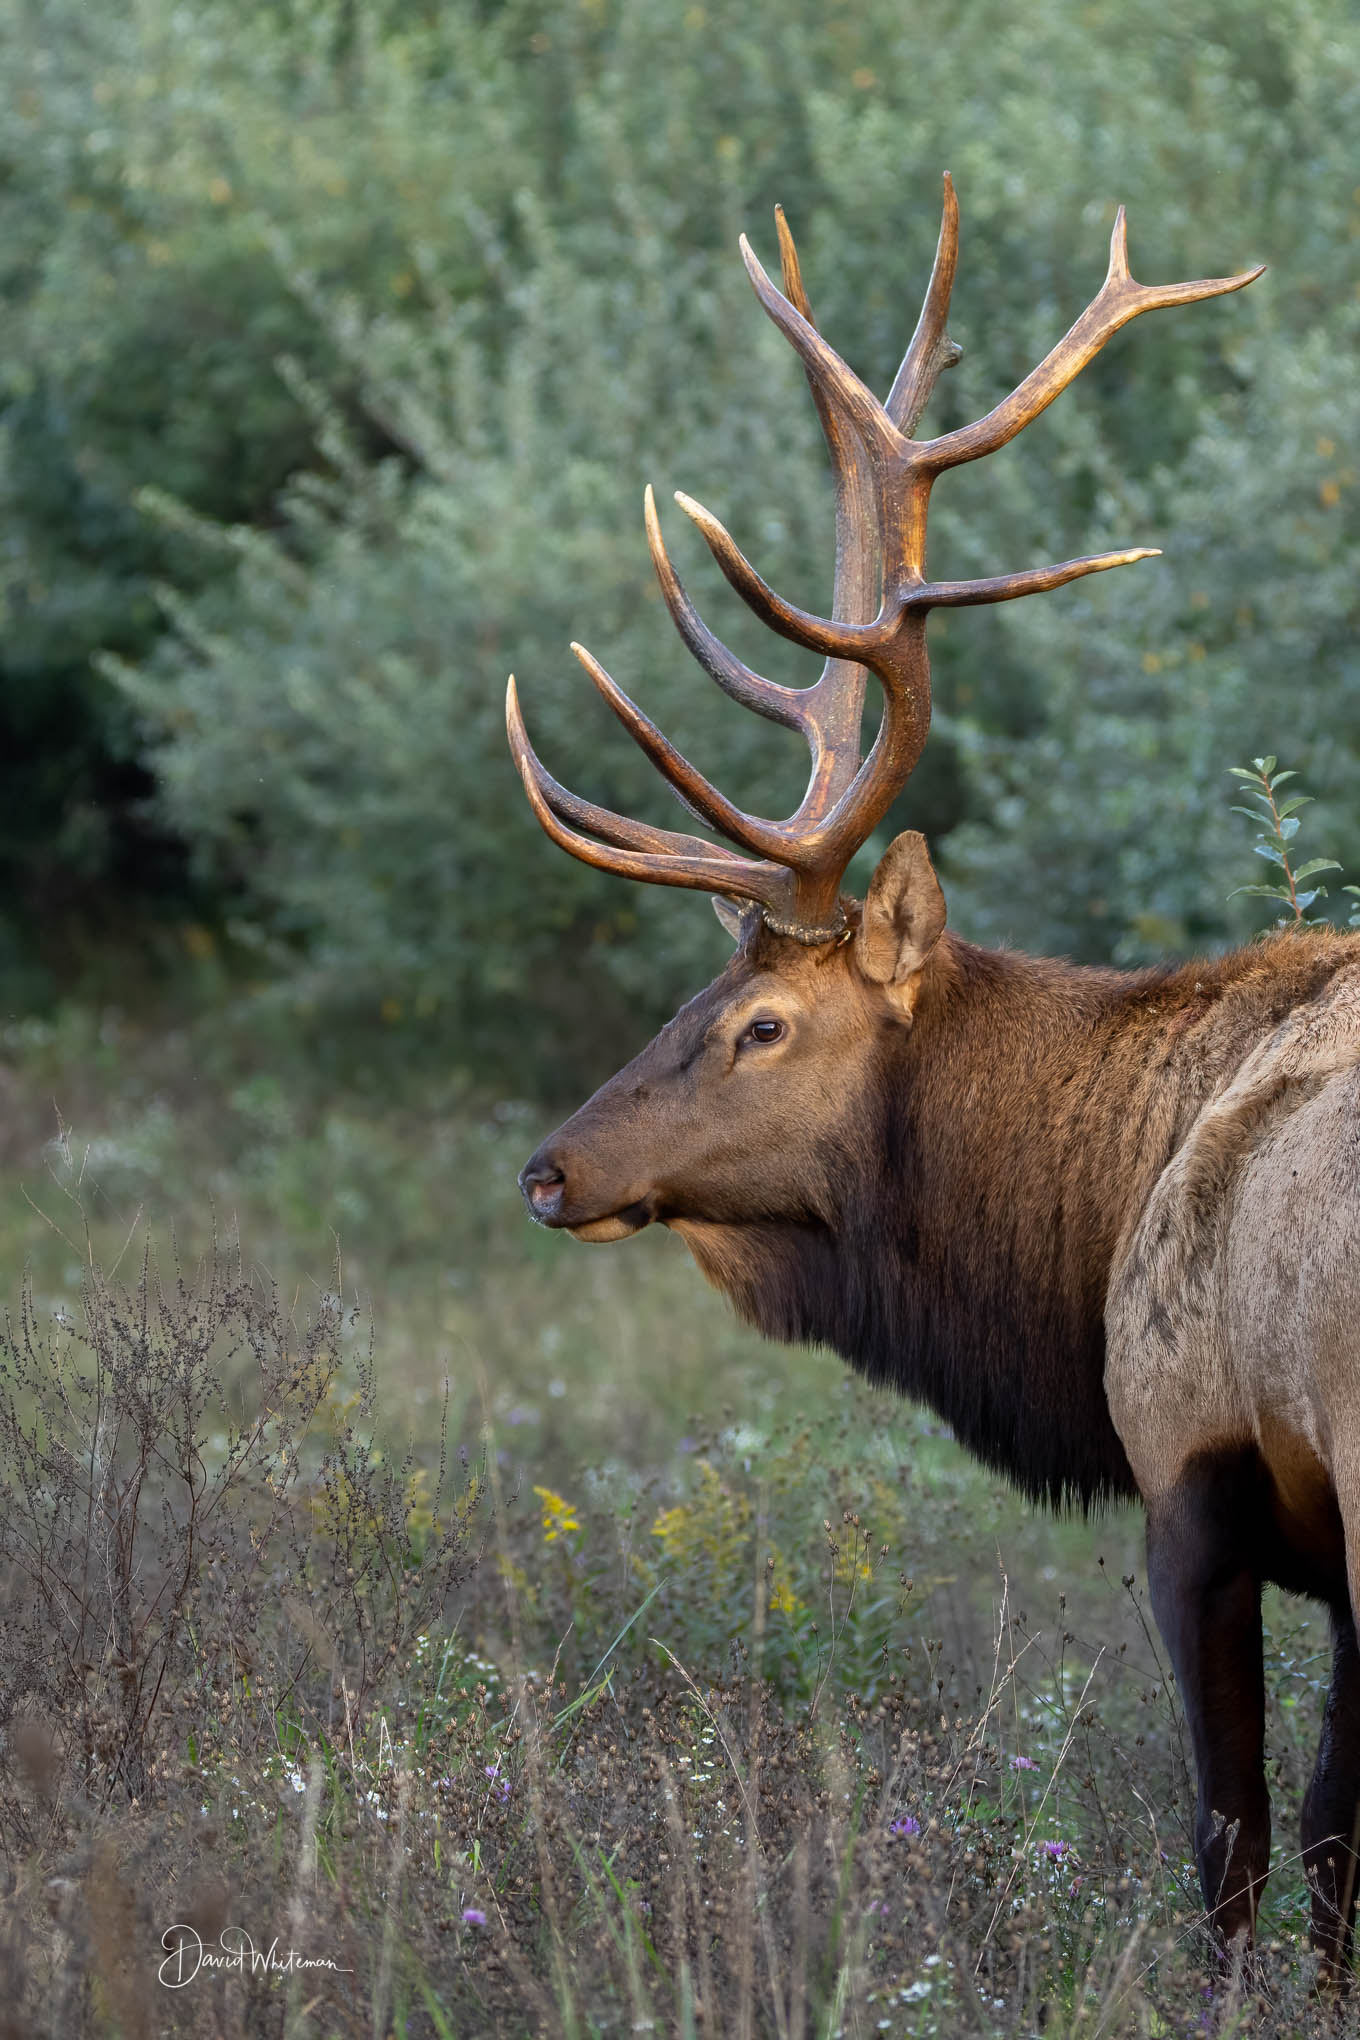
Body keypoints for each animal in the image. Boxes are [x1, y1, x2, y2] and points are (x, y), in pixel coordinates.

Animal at [505, 177, 1360, 1970]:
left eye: (762, 1023)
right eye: (695, 991)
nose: (550, 1168)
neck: (1086, 1224)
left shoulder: (1195, 1473)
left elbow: (1251, 1846)